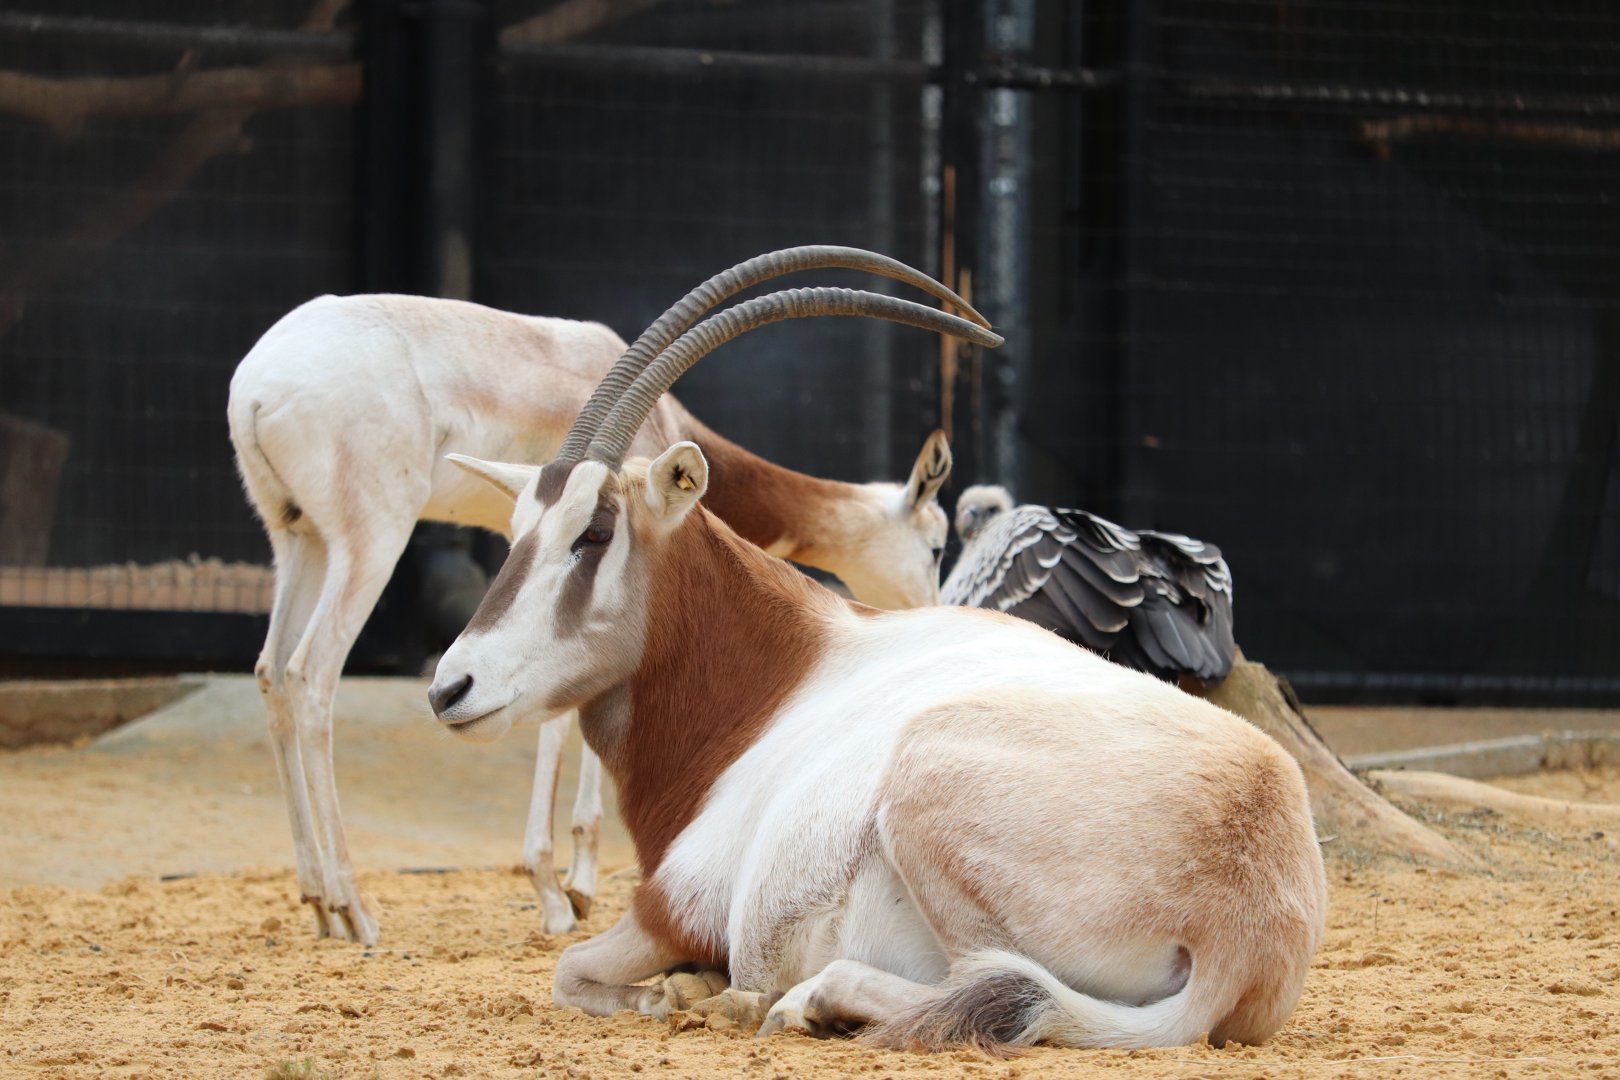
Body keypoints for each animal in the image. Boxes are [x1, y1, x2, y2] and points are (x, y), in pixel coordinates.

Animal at [227, 247, 970, 944]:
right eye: (936, 545)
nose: (937, 605)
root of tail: (255, 386)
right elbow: (562, 714)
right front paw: (567, 890)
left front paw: (561, 882)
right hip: (371, 537)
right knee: (310, 673)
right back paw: (354, 907)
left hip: (298, 538)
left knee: (269, 672)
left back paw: (317, 899)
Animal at [428, 258, 1330, 1053]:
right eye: (518, 530)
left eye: (595, 531)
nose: (449, 688)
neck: (783, 675)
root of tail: (1243, 918)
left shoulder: (677, 903)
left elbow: (570, 970)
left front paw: (676, 995)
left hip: (924, 782)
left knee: (985, 978)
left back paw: (796, 1003)